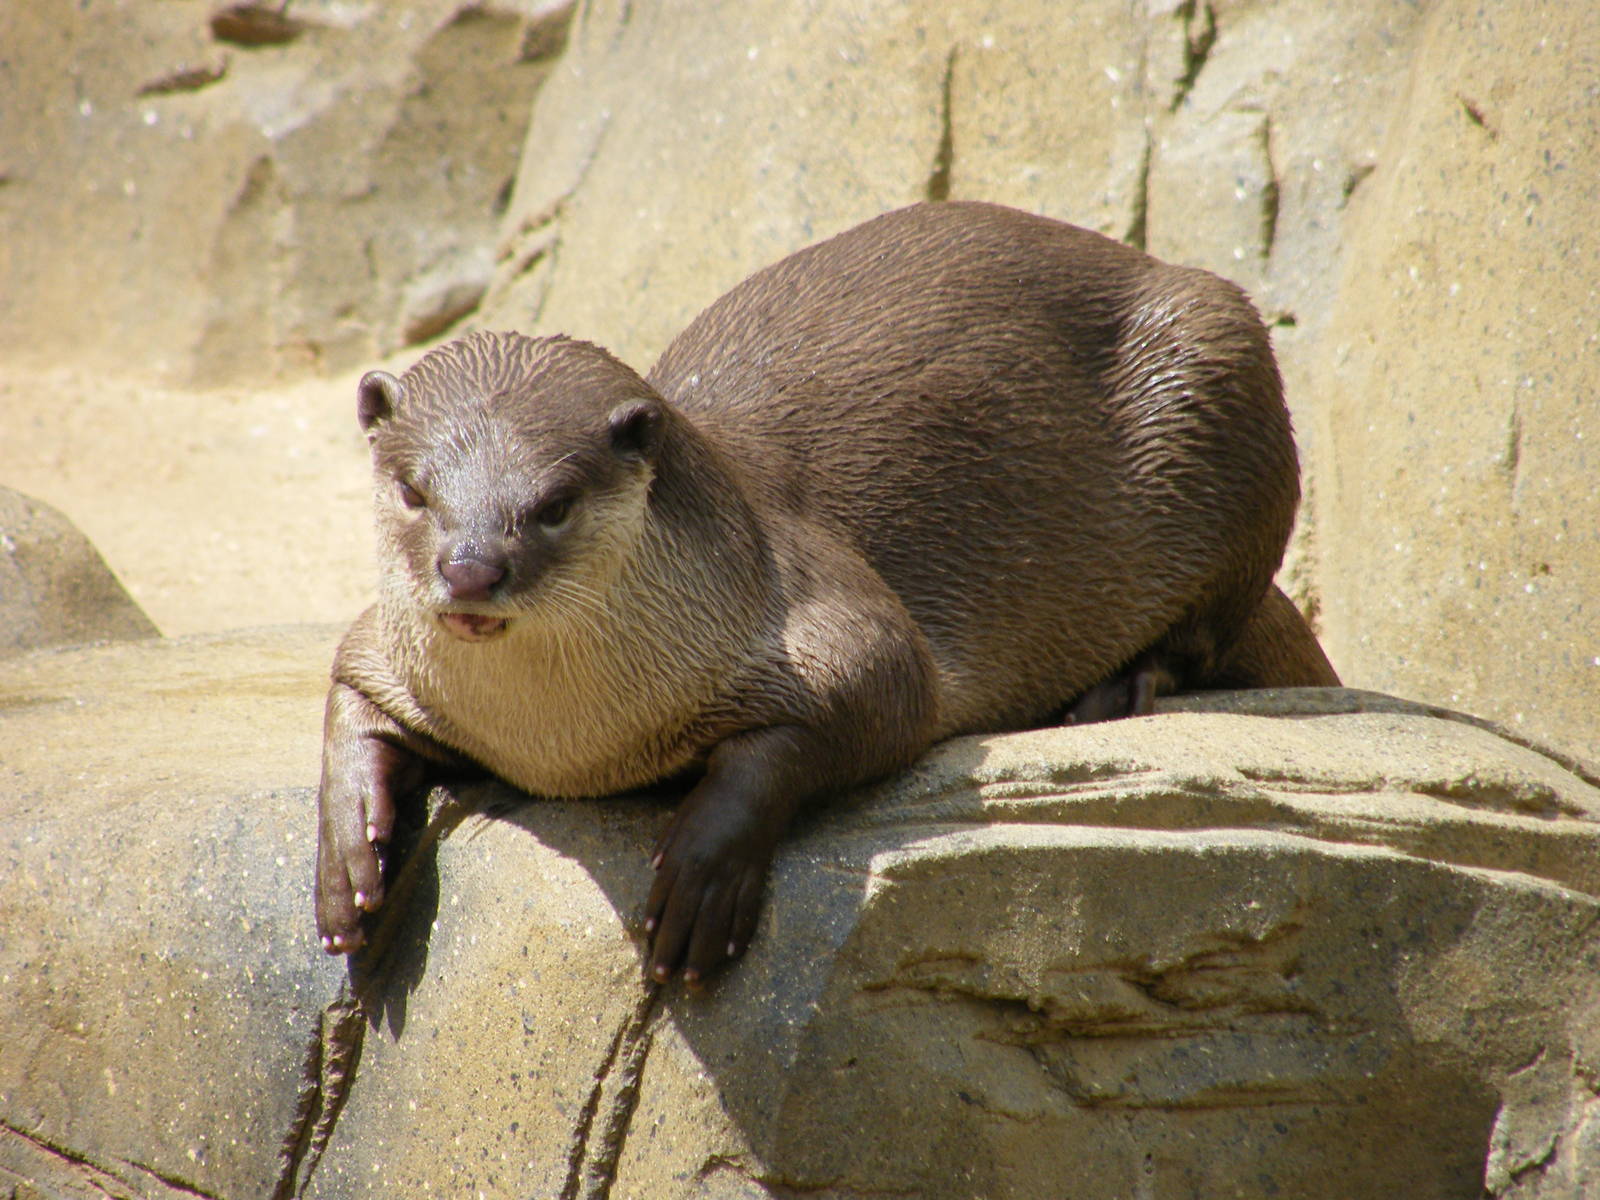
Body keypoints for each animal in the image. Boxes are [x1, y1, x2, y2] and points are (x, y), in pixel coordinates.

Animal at [314, 200, 1338, 985]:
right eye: (414, 492)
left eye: (555, 503)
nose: (470, 568)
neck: (570, 747)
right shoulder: (384, 647)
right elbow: (347, 695)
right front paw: (348, 859)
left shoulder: (835, 615)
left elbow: (867, 700)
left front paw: (702, 873)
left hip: (1221, 369)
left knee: (1210, 620)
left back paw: (1114, 687)